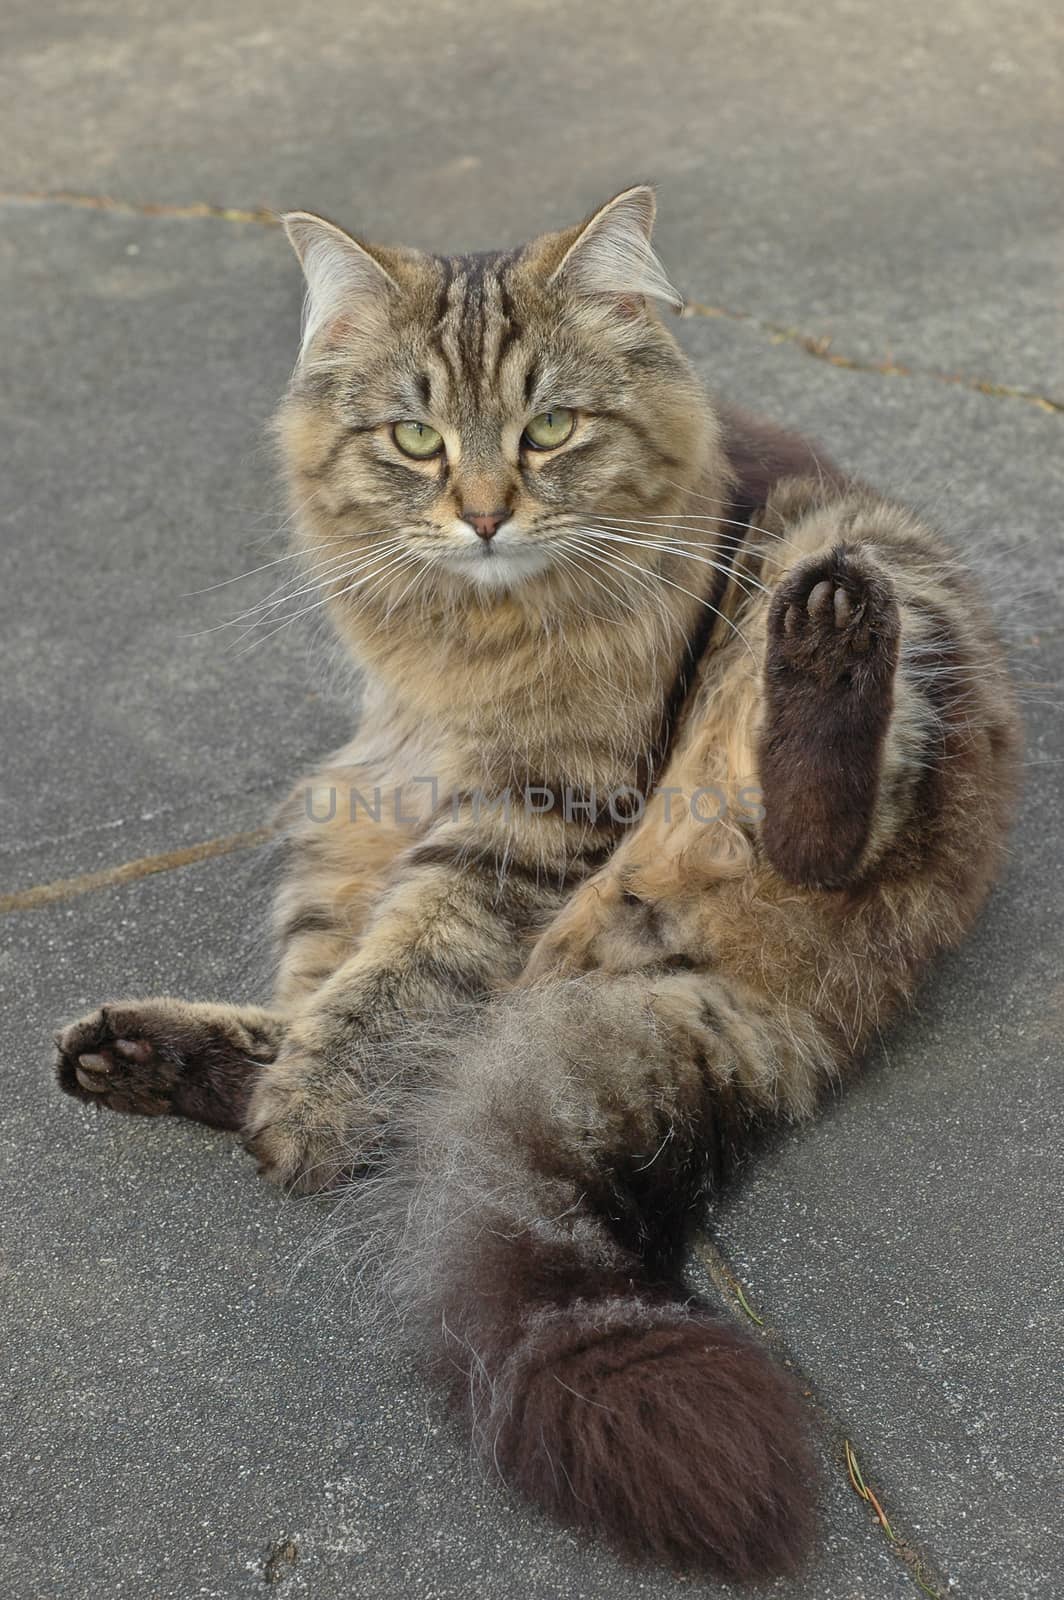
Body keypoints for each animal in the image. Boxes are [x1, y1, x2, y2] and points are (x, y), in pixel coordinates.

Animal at [54, 184, 1017, 1574]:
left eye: (548, 427)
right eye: (413, 440)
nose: (483, 513)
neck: (473, 640)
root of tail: (748, 1012)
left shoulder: (538, 809)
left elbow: (401, 975)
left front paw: (312, 1113)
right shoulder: (401, 790)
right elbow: (358, 987)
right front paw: (292, 1089)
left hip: (870, 599)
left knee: (814, 824)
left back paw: (828, 647)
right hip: (335, 817)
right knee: (366, 1040)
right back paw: (146, 1059)